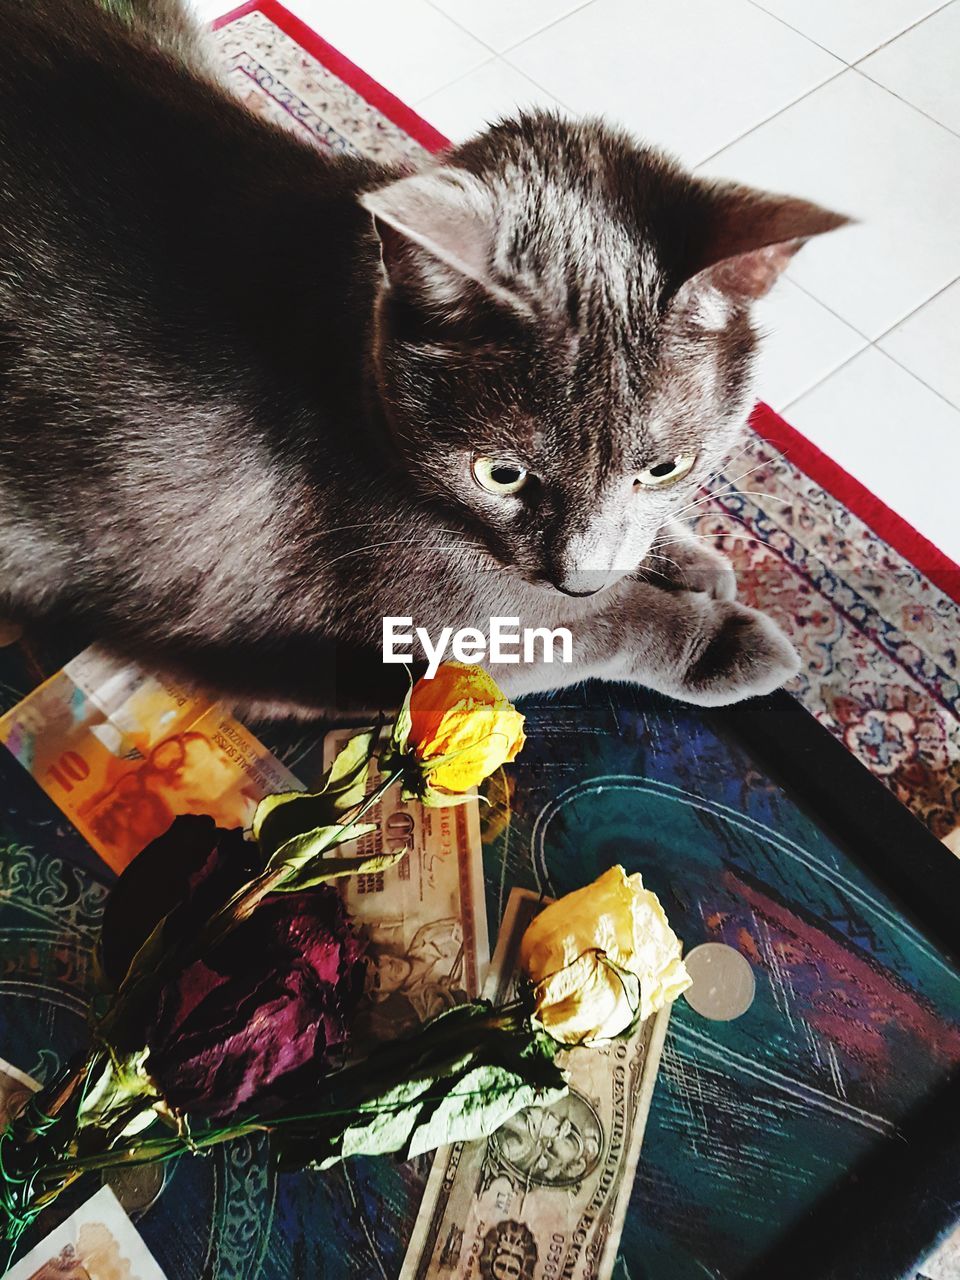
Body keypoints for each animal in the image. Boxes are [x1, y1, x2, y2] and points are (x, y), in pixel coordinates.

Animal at [0, 0, 849, 711]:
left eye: (667, 467)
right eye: (500, 475)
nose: (577, 573)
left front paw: (690, 559)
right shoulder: (450, 611)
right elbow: (606, 625)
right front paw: (731, 642)